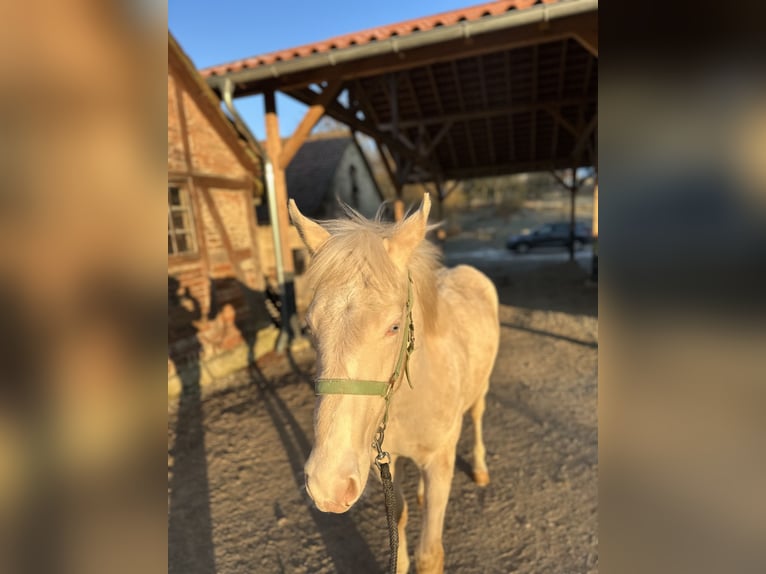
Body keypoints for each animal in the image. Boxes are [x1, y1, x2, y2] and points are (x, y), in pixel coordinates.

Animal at [289, 193, 499, 574]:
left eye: (394, 326)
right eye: (309, 326)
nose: (329, 485)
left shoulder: (441, 461)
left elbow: (430, 554)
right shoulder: (382, 460)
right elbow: (398, 517)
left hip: (481, 388)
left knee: (477, 415)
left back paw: (479, 468)